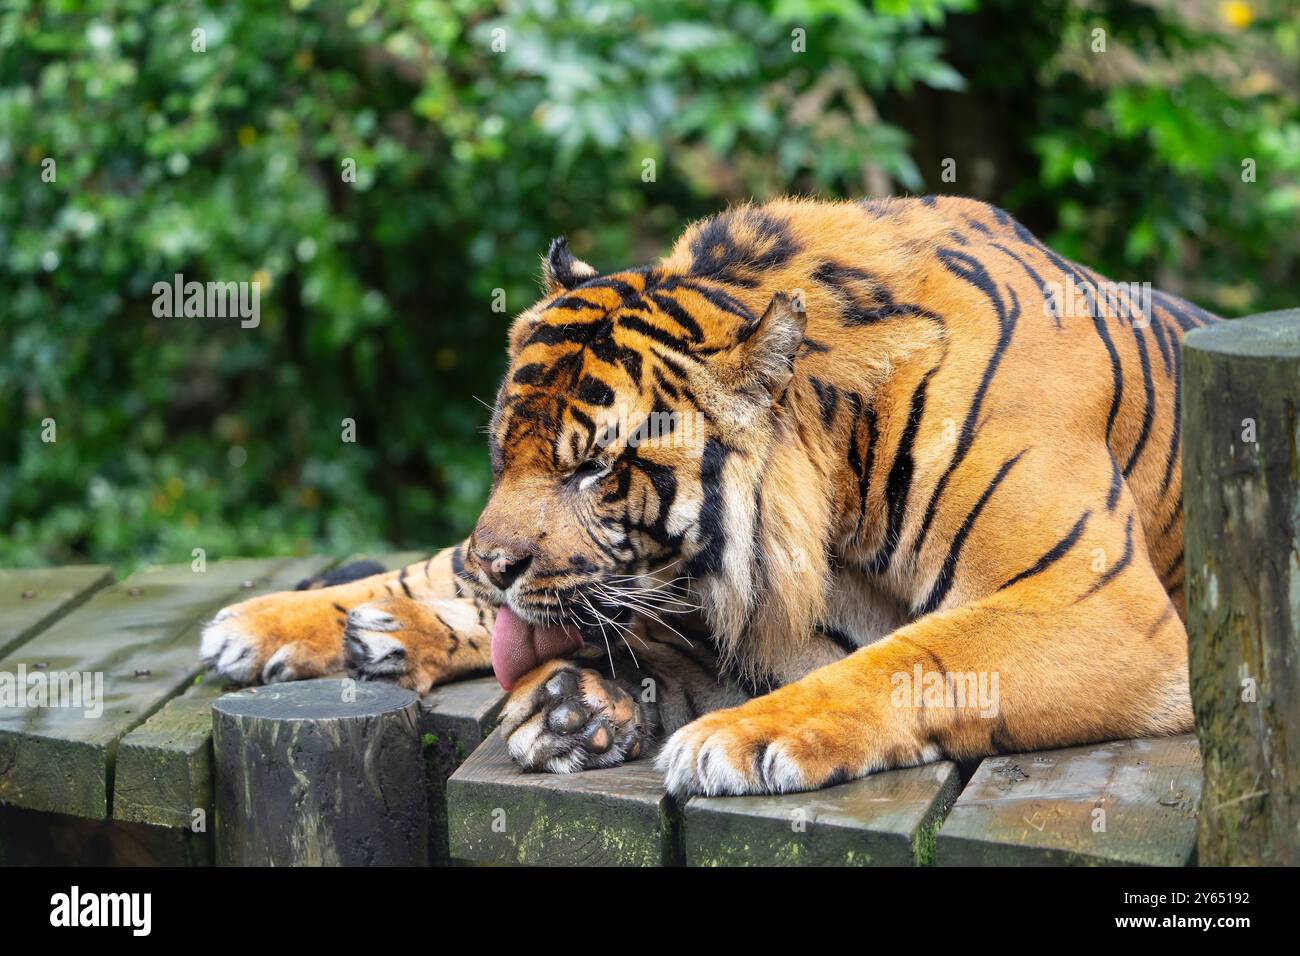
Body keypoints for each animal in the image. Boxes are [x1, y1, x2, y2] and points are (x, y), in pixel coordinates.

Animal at [200, 194, 1211, 797]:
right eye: (503, 454)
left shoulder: (1095, 599)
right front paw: (577, 706)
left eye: (593, 473)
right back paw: (294, 628)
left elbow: (913, 659)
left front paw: (732, 738)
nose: (499, 564)